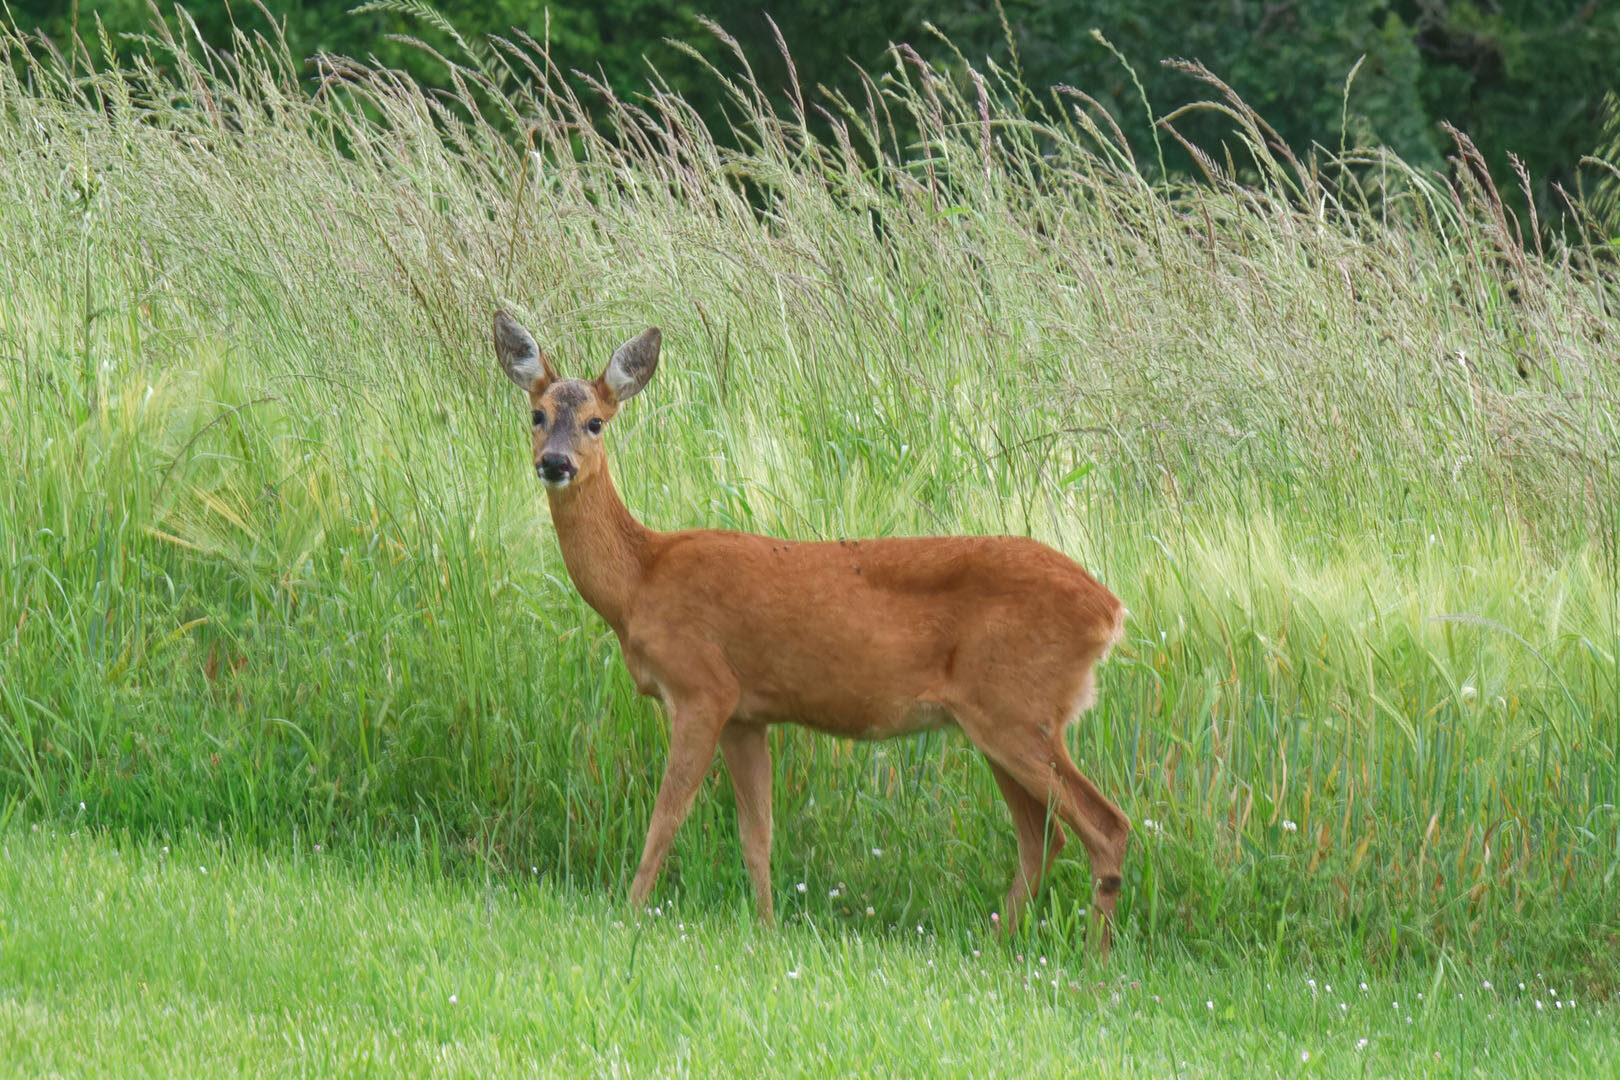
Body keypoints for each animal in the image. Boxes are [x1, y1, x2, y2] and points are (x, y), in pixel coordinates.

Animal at [498, 307, 1134, 958]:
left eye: (596, 422)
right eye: (537, 413)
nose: (555, 463)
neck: (640, 581)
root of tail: (1111, 611)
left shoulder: (703, 687)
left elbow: (667, 814)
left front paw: (627, 915)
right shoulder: (747, 712)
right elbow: (758, 833)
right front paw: (766, 928)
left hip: (1015, 708)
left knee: (1105, 825)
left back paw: (1094, 957)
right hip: (998, 718)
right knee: (1044, 836)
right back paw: (996, 943)